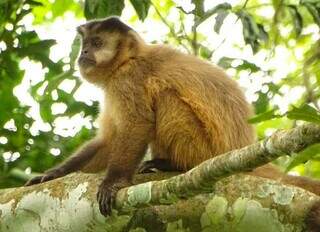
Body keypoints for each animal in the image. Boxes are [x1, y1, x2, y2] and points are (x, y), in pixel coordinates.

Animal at [25, 16, 320, 230]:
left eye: (97, 42)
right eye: (85, 42)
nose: (84, 51)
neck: (128, 60)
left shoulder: (127, 80)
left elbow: (137, 125)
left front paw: (114, 183)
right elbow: (108, 141)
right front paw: (51, 175)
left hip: (207, 150)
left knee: (165, 98)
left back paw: (176, 165)